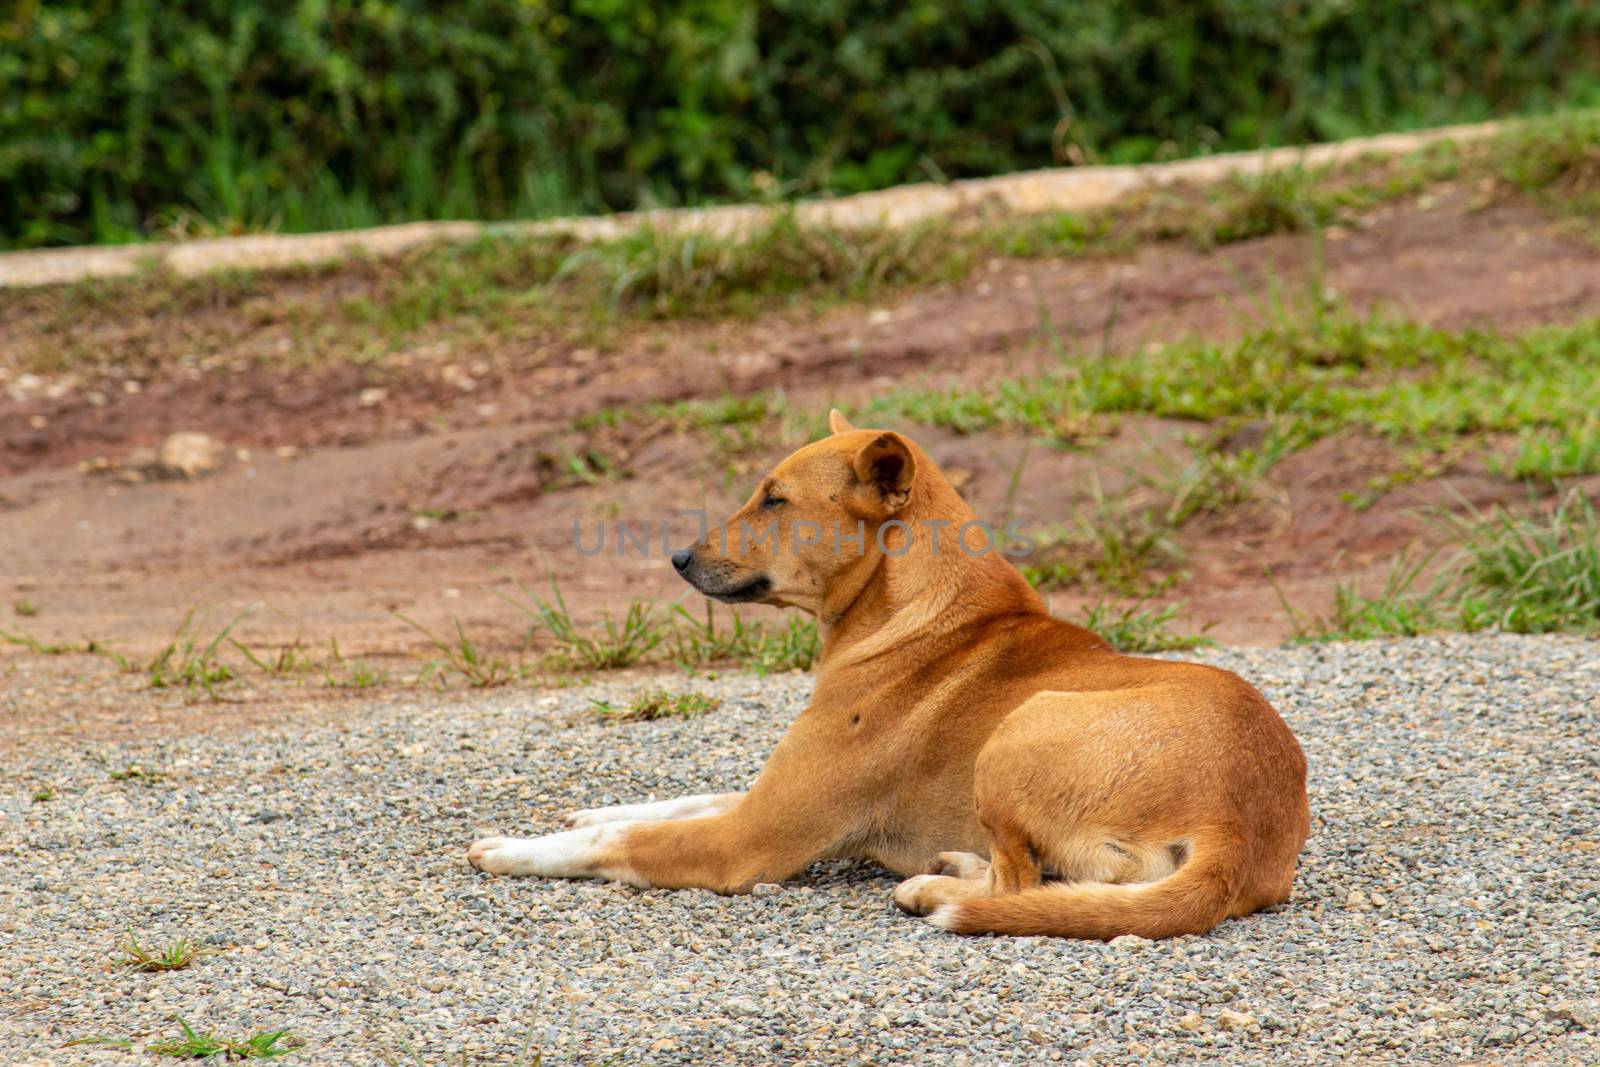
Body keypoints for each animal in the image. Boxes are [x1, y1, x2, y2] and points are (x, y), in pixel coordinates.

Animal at [467, 409, 1312, 934]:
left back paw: (939, 883)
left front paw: (513, 847)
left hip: (1021, 728)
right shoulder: (763, 796)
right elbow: (668, 803)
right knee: (1070, 883)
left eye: (774, 499)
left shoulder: (747, 838)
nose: (676, 557)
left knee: (1017, 884)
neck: (921, 613)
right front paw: (586, 812)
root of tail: (1241, 821)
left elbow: (625, 843)